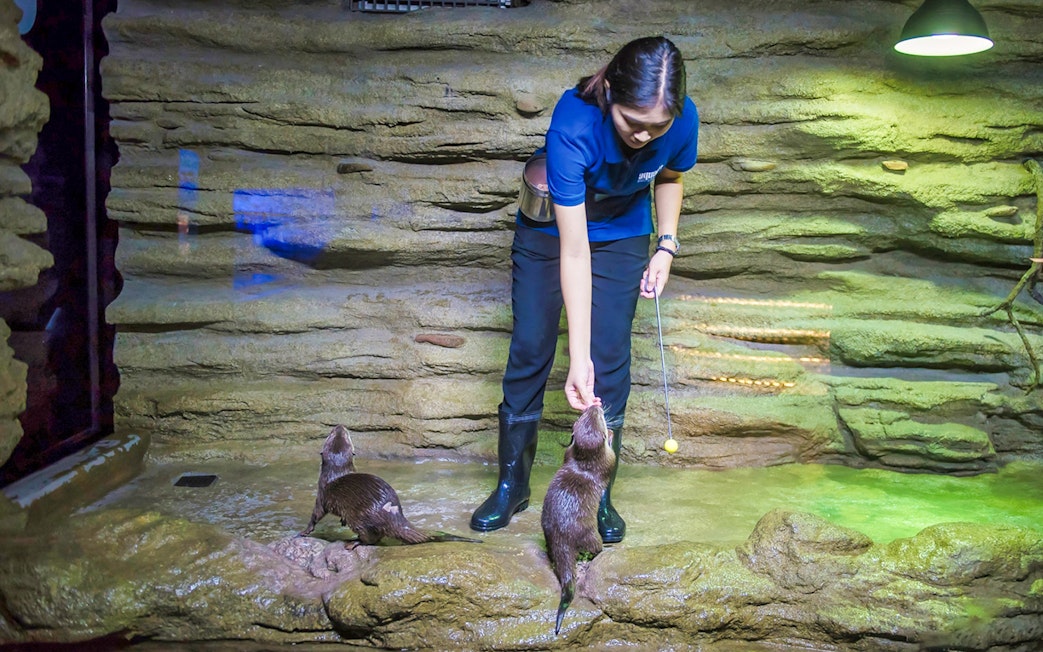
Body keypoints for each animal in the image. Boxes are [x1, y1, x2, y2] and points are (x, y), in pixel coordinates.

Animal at [298, 425, 482, 546]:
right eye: (339, 434)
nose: (339, 426)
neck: (336, 471)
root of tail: (392, 513)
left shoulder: (322, 492)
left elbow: (317, 513)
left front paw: (305, 531)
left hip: (358, 517)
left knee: (370, 537)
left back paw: (355, 542)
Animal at [540, 404, 617, 635]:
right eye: (600, 417)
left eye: (586, 414)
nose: (595, 405)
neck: (584, 465)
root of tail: (561, 536)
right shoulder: (607, 462)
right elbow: (612, 459)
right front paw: (611, 434)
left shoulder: (568, 453)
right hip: (590, 533)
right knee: (594, 548)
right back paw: (605, 548)